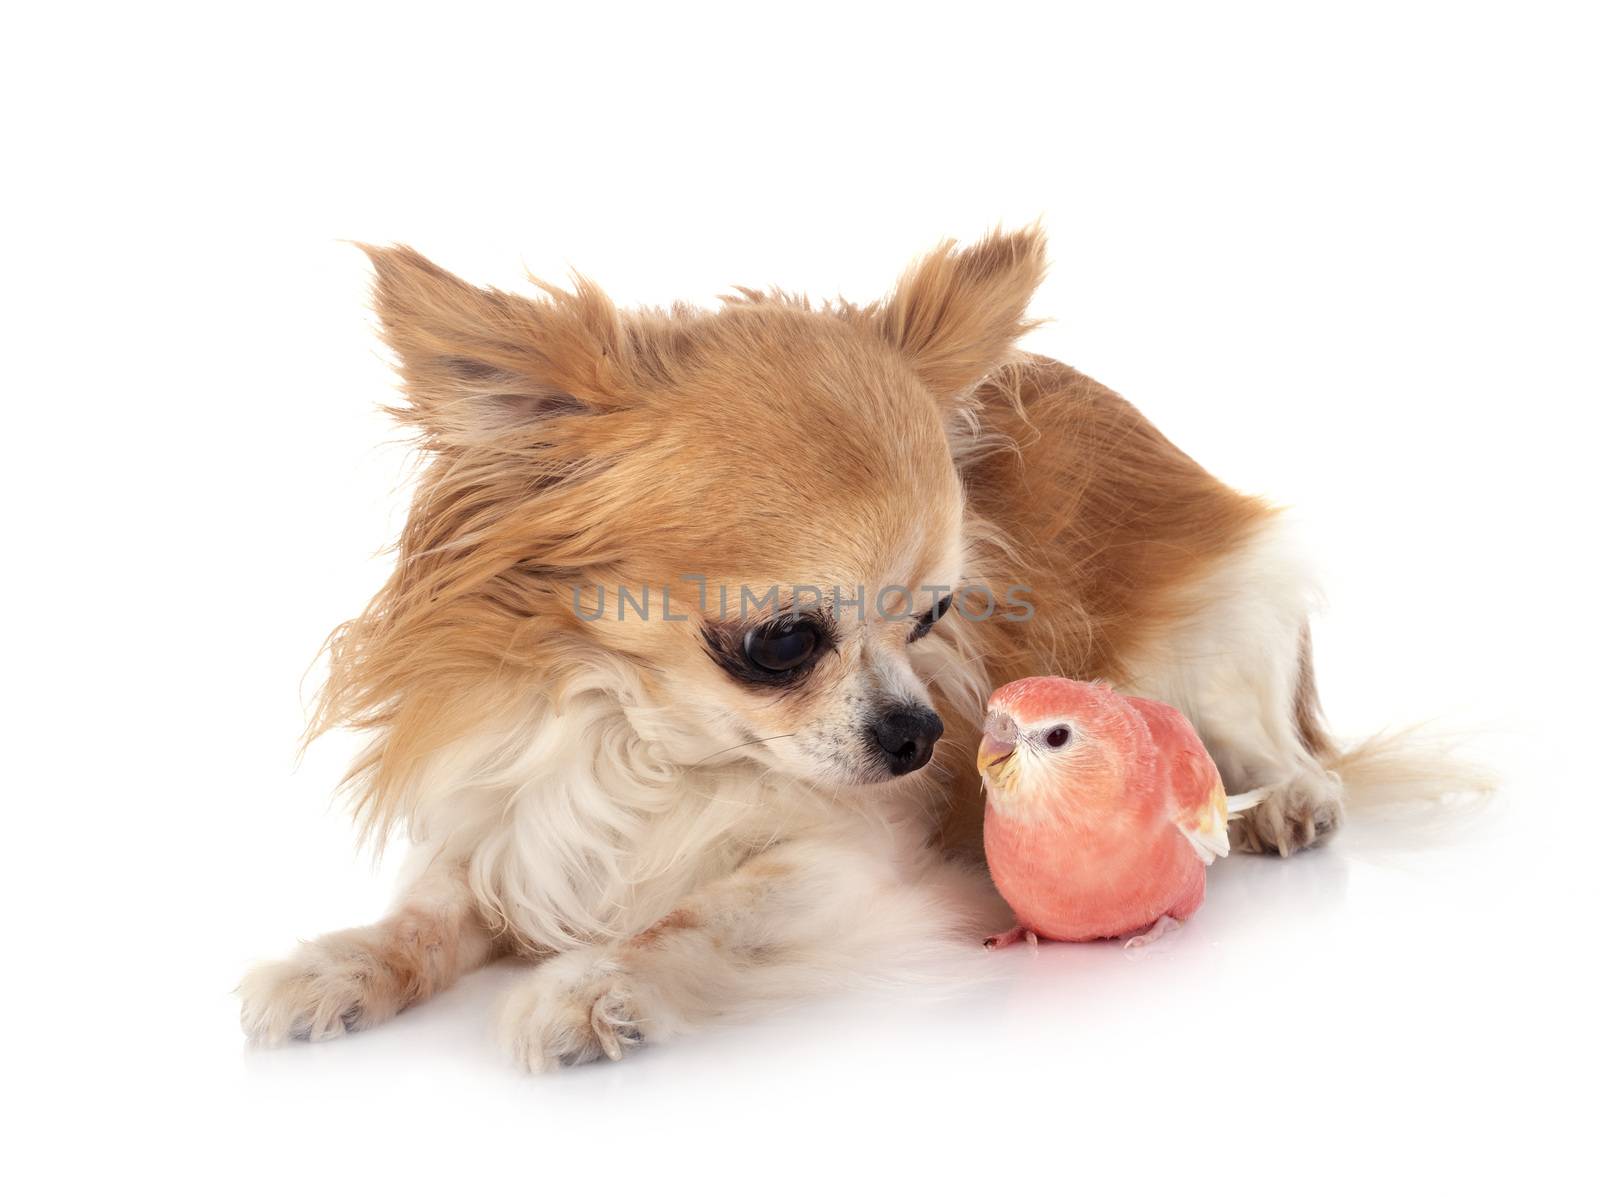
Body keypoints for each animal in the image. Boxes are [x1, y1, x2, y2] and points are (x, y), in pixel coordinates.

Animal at [233, 228, 1401, 1068]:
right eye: (783, 643)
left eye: (929, 617)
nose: (923, 734)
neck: (645, 741)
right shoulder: (510, 826)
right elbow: (427, 914)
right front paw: (337, 966)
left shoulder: (852, 860)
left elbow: (695, 916)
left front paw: (594, 985)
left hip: (1213, 646)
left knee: (1269, 748)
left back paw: (1292, 804)